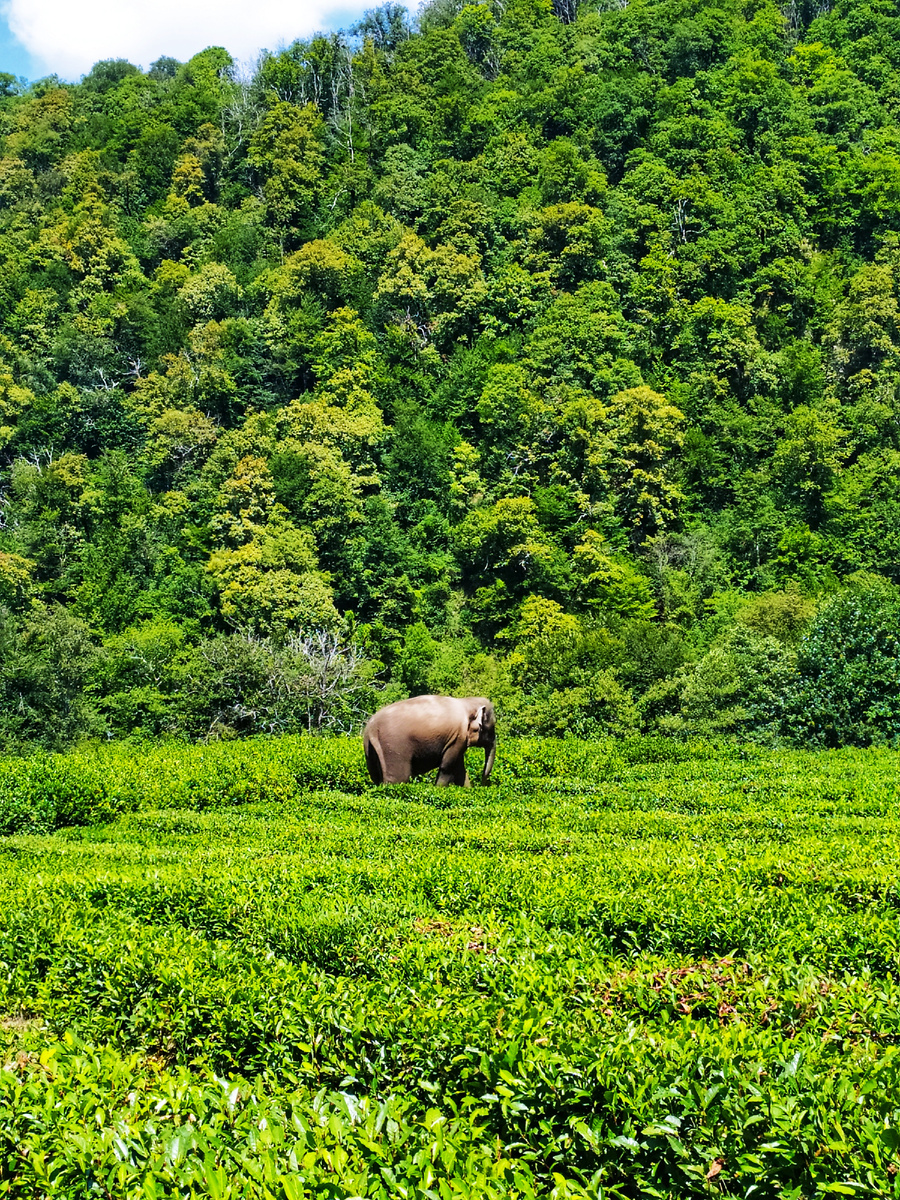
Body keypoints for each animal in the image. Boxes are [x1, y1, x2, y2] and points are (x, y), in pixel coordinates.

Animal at [362, 696, 496, 787]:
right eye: (491, 729)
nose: (482, 785)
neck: (467, 702)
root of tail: (372, 728)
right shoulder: (457, 738)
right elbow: (447, 767)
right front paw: (438, 789)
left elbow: (459, 769)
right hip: (393, 748)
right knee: (398, 779)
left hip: (370, 749)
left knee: (375, 776)